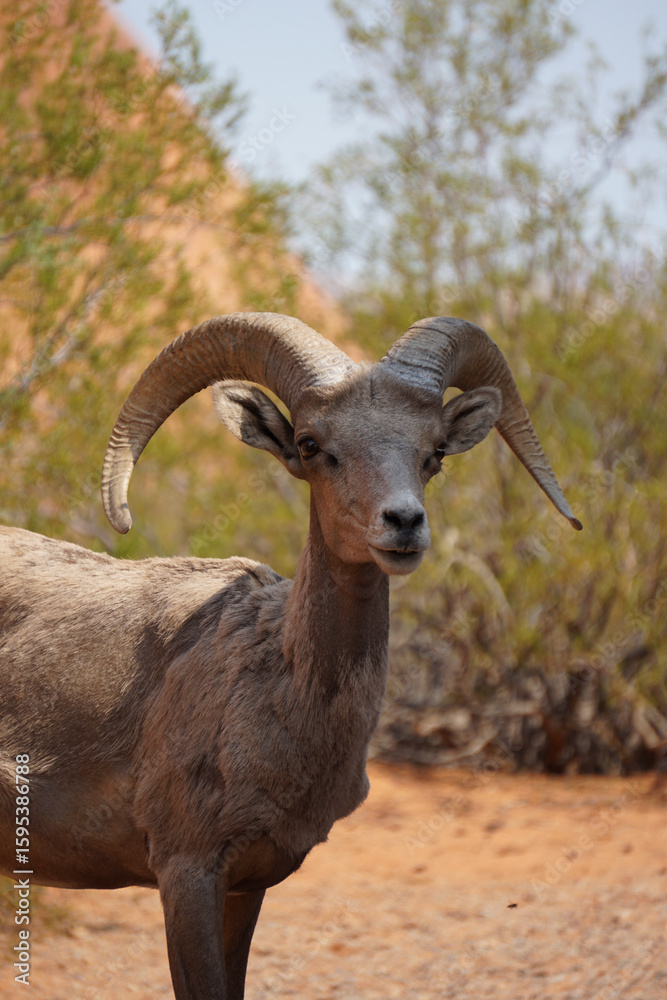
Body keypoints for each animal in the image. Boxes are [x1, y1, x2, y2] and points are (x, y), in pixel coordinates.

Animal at [0, 313, 581, 999]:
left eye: (435, 452)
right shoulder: (187, 874)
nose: (404, 523)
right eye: (309, 444)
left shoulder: (246, 885)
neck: (279, 690)